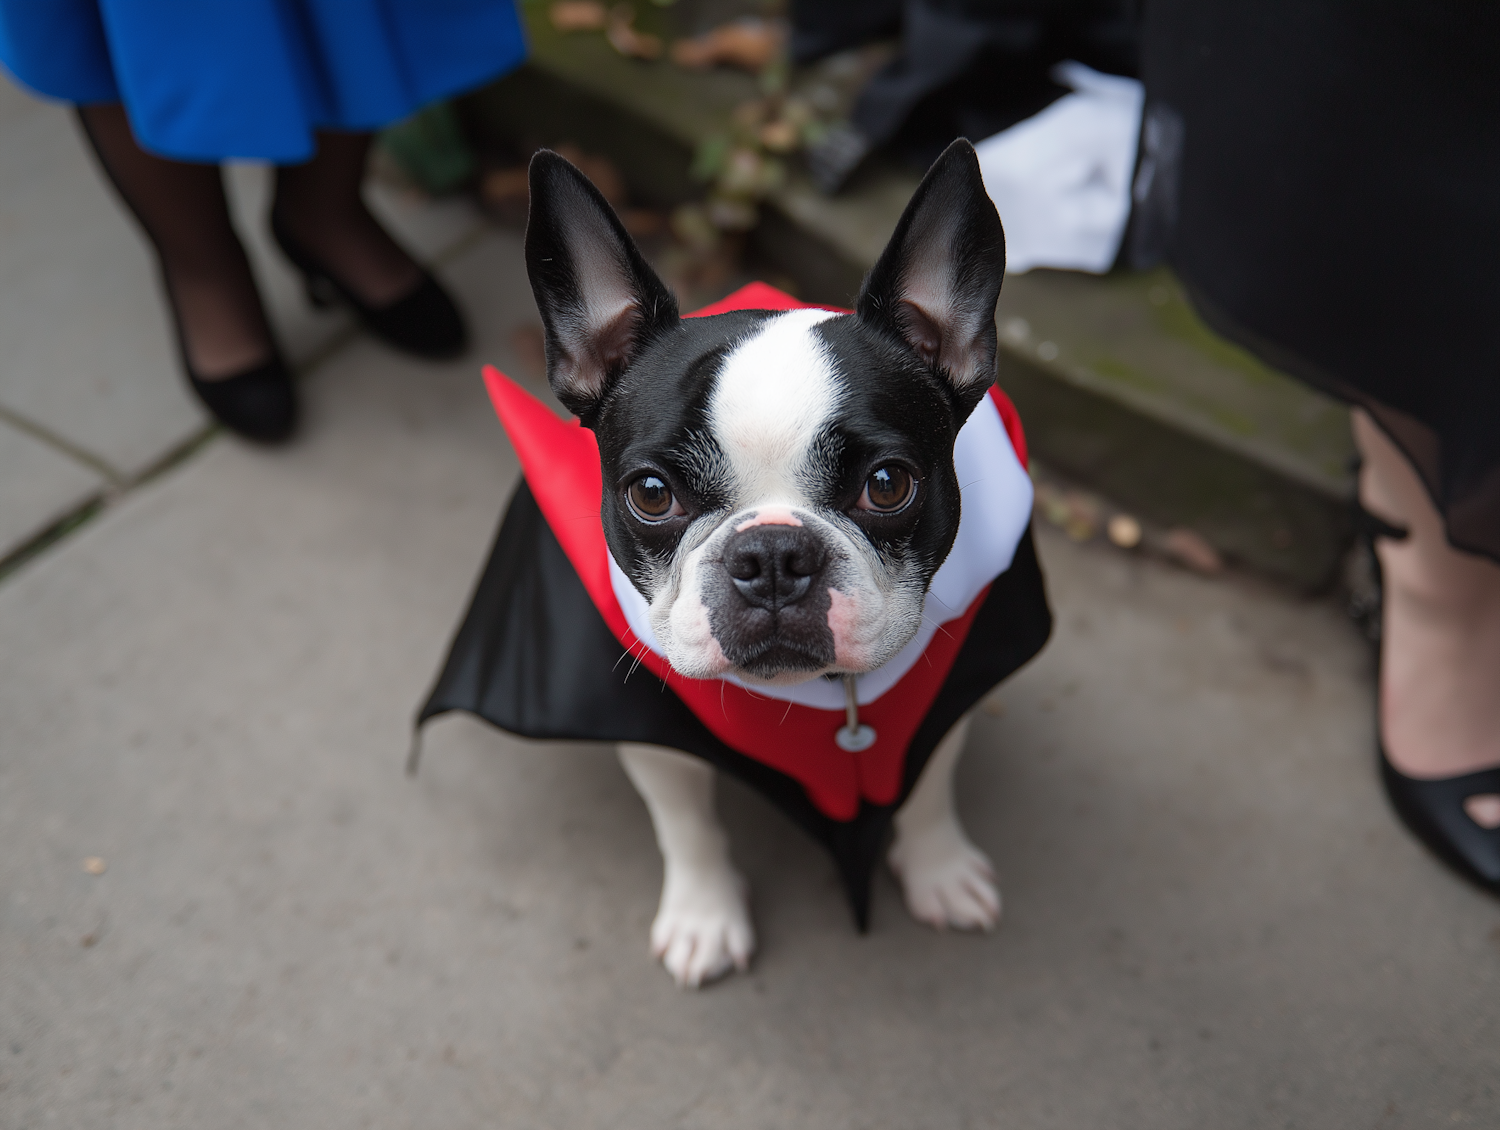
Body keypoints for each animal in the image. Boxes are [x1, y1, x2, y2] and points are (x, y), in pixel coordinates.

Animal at [525, 143, 1020, 984]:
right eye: (652, 494)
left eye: (887, 484)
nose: (774, 556)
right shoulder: (654, 738)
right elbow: (685, 823)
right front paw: (704, 916)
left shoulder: (948, 689)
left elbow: (929, 783)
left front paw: (941, 869)